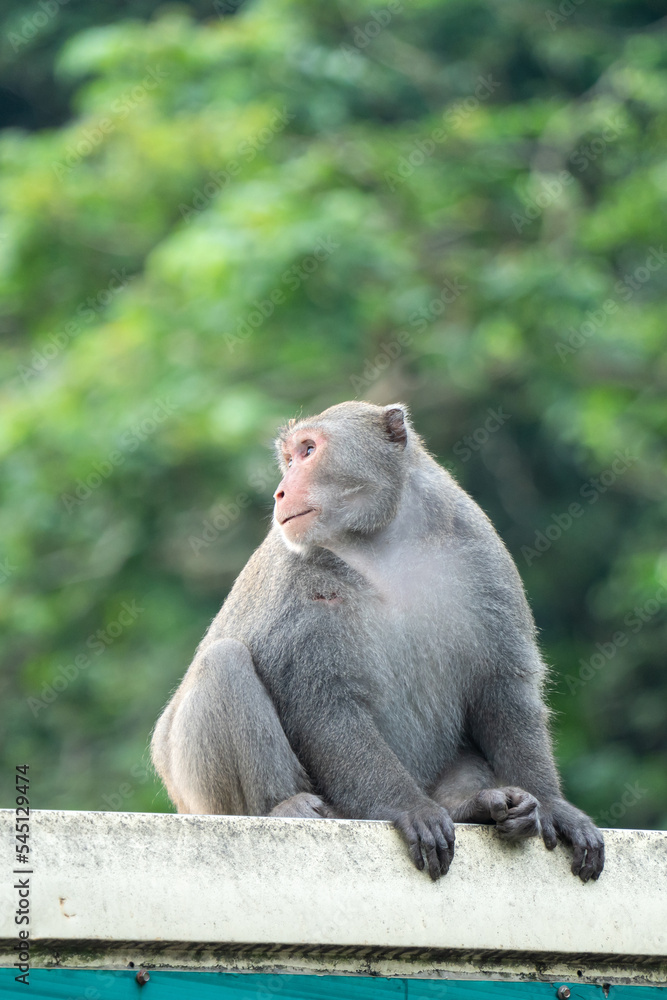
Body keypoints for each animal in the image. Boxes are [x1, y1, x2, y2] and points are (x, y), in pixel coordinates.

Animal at [151, 398, 604, 884]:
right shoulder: (297, 578)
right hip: (197, 791)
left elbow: (502, 689)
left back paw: (476, 806)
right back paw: (282, 806)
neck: (383, 543)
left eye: (308, 451)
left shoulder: (480, 553)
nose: (280, 492)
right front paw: (410, 809)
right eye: (290, 458)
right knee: (224, 663)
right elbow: (323, 705)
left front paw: (555, 807)